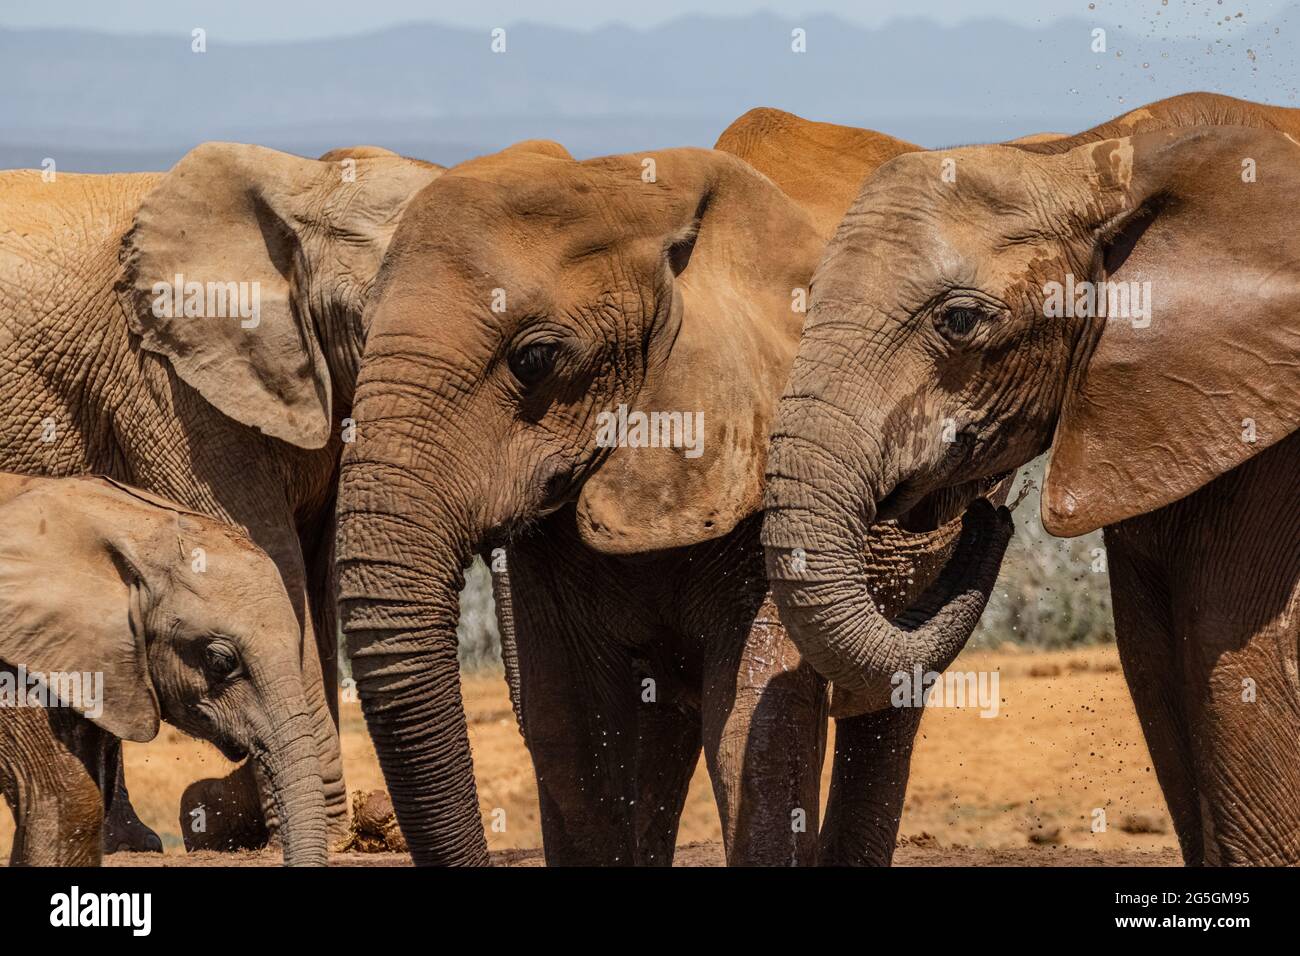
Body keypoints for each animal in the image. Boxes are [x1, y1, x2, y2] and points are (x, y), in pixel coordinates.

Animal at [332, 123, 1003, 863]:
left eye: (534, 359)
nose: (994, 519)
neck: (634, 195)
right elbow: (573, 727)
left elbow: (755, 724)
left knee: (884, 704)